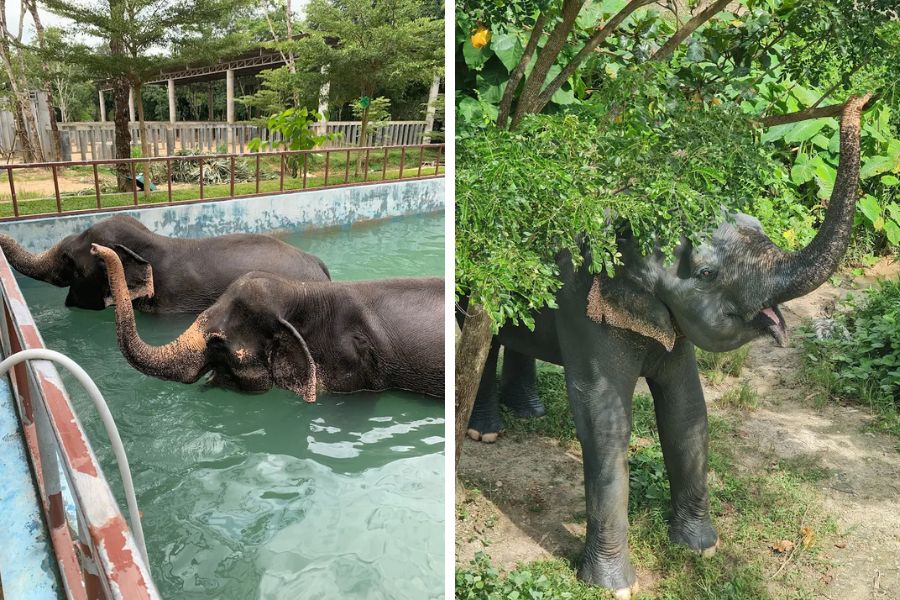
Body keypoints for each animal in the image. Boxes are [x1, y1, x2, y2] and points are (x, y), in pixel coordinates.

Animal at [458, 94, 870, 597]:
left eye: (757, 223)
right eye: (708, 273)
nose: (859, 101)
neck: (631, 202)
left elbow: (687, 409)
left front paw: (701, 548)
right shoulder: (583, 301)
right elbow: (604, 420)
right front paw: (613, 586)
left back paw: (529, 412)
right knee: (480, 340)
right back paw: (486, 432)